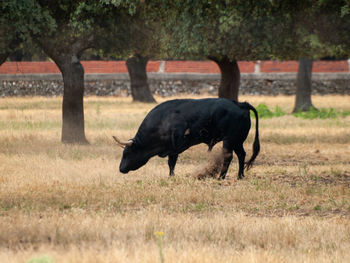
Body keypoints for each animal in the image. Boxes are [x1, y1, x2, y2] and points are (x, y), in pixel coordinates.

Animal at [113, 98, 258, 180]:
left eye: (127, 153)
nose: (120, 169)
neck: (162, 121)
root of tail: (240, 104)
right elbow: (171, 164)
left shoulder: (174, 148)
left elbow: (171, 163)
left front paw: (171, 177)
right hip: (237, 141)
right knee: (241, 154)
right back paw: (240, 176)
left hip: (229, 140)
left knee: (228, 156)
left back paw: (221, 178)